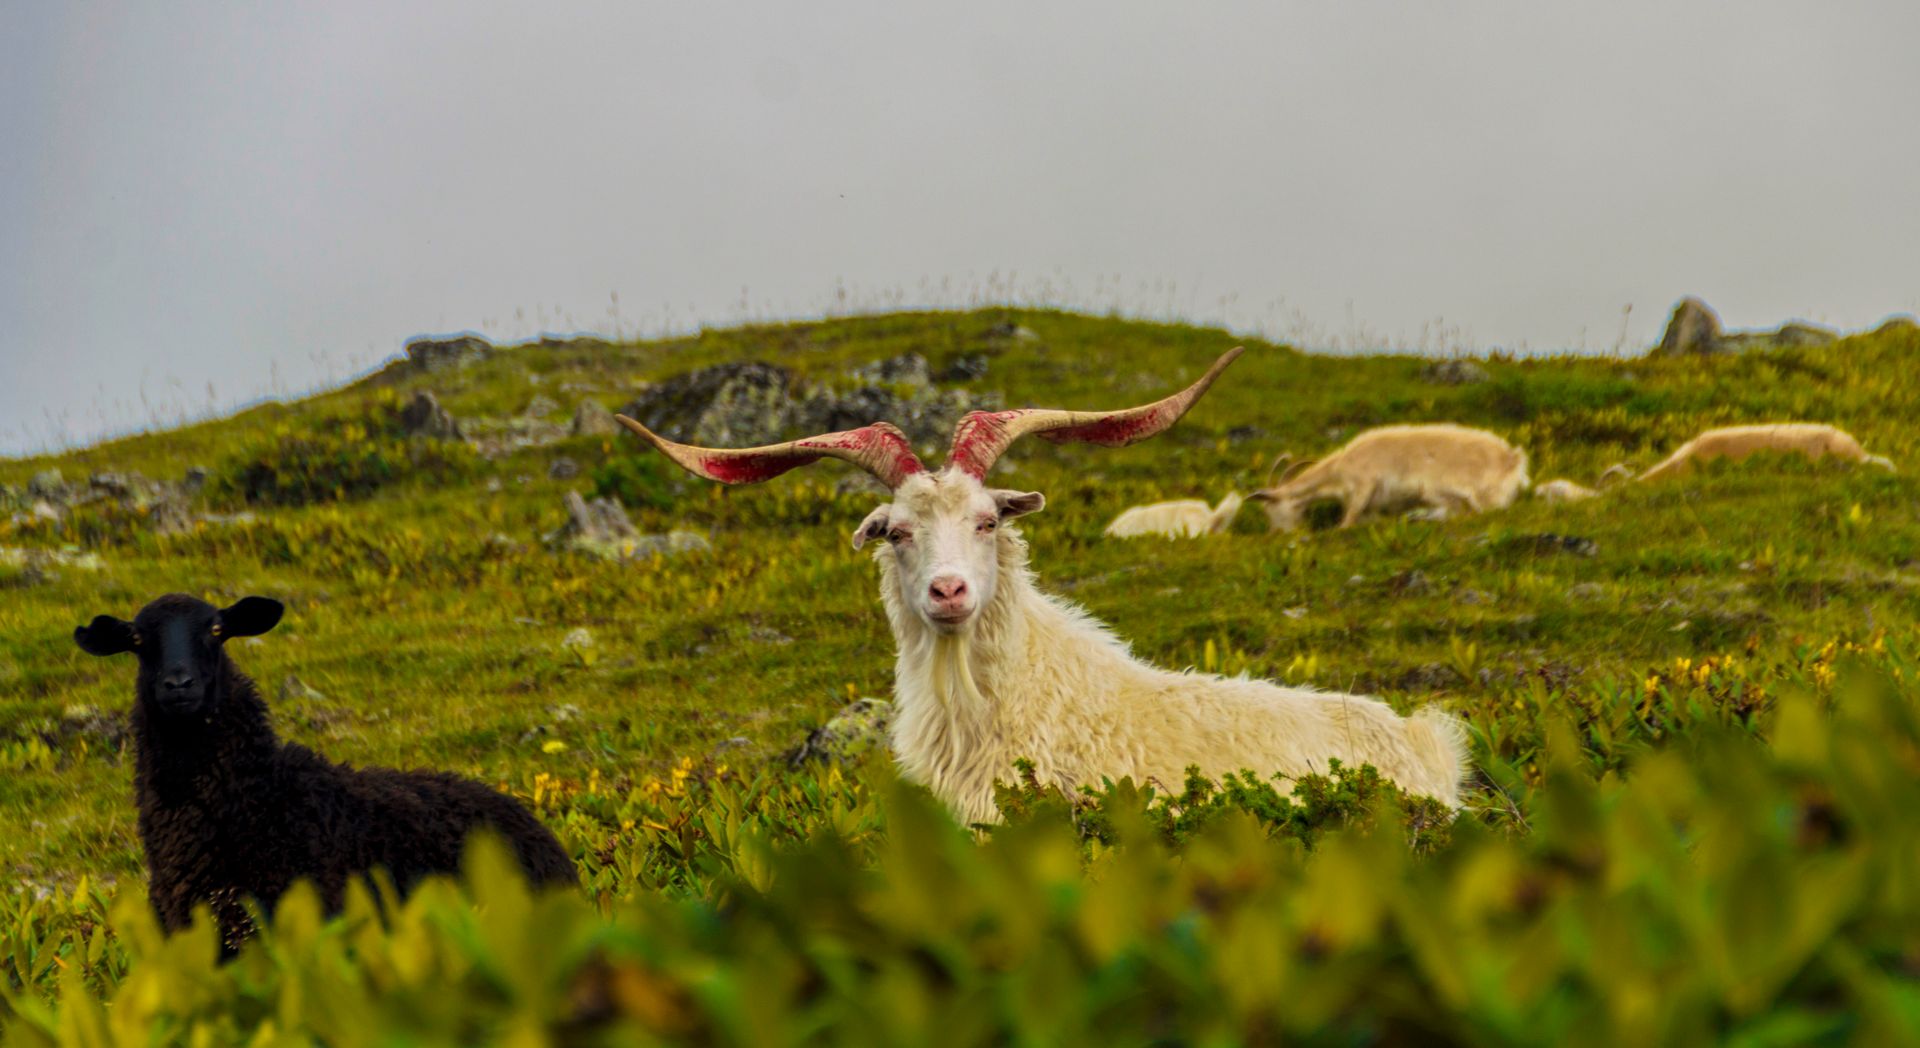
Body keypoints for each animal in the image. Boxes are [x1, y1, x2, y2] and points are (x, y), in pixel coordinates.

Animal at [1248, 424, 1529, 530]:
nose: (1277, 533)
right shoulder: (1372, 507)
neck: (1339, 469)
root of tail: (1511, 460)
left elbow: (1346, 523)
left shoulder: (1363, 486)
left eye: (1269, 509)